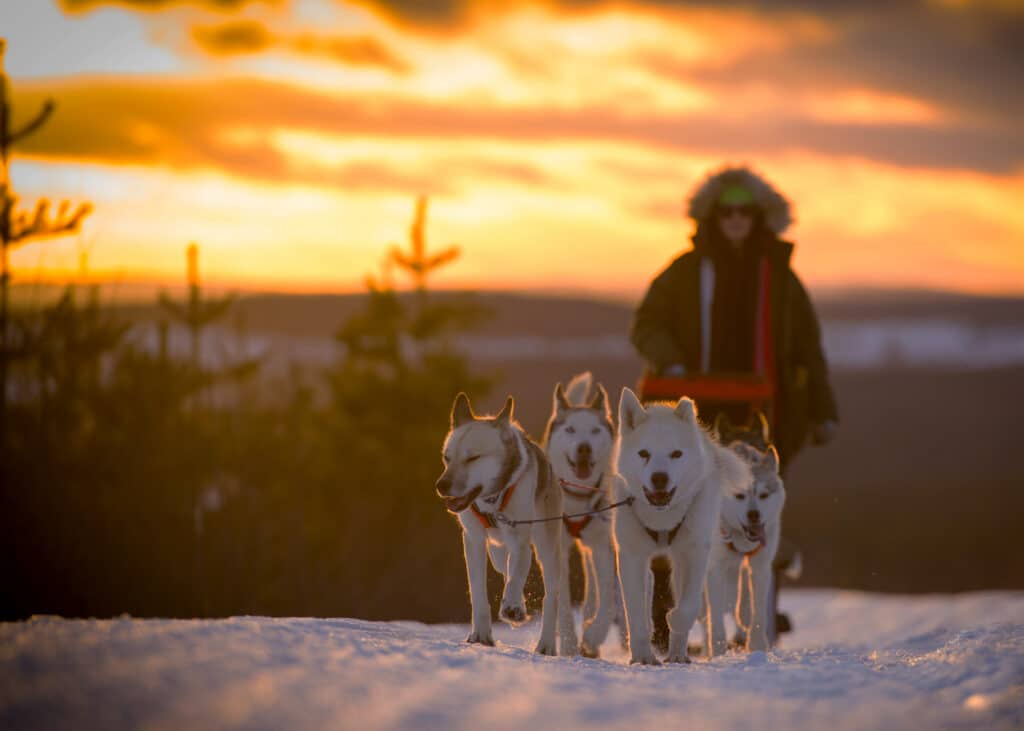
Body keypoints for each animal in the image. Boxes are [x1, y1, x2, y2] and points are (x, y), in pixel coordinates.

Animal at [432, 393, 565, 655]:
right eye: (447, 458)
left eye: (473, 457)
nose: (441, 485)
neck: (492, 501)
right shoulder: (473, 540)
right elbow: (478, 590)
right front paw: (481, 634)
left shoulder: (519, 538)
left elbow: (518, 574)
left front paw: (512, 606)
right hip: (496, 551)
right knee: (506, 568)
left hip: (546, 545)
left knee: (550, 592)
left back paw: (545, 642)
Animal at [610, 391, 749, 663]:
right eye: (644, 453)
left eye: (676, 454)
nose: (659, 478)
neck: (663, 519)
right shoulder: (631, 556)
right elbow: (635, 614)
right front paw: (642, 657)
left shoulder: (694, 553)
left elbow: (688, 607)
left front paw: (674, 619)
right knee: (648, 587)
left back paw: (677, 654)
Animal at [704, 438, 782, 655]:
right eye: (740, 495)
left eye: (763, 495)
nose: (754, 514)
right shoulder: (715, 569)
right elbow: (716, 618)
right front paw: (718, 653)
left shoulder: (760, 566)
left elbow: (758, 611)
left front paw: (757, 647)